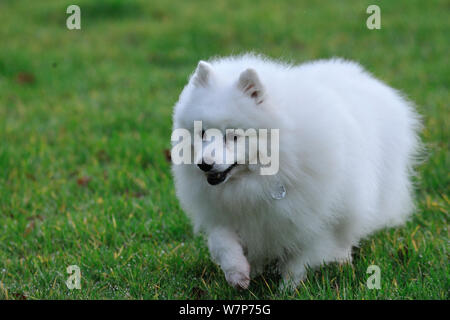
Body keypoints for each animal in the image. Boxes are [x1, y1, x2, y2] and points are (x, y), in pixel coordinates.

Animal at [171, 53, 422, 290]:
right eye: (203, 133)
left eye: (233, 136)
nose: (204, 164)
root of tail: (366, 78)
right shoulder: (224, 214)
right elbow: (223, 243)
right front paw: (239, 275)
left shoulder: (311, 218)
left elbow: (300, 258)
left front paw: (289, 288)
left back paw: (342, 259)